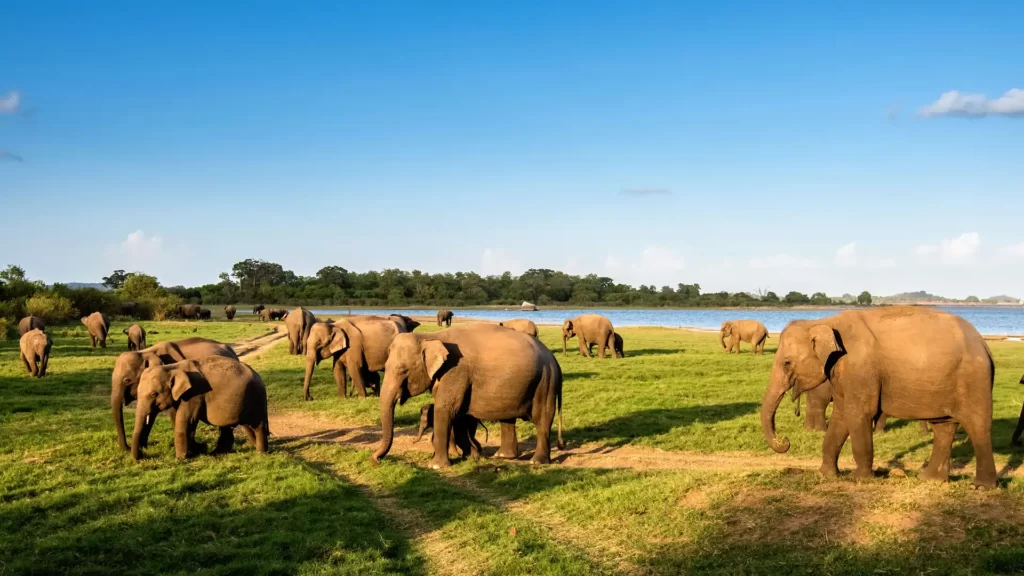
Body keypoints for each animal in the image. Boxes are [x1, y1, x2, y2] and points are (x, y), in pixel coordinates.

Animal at [131, 356, 269, 461]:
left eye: (154, 394)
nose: (143, 455)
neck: (172, 367)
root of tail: (258, 376)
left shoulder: (194, 394)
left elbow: (186, 420)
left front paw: (180, 459)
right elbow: (179, 420)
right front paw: (198, 450)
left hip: (256, 398)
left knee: (258, 425)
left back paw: (260, 453)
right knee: (228, 426)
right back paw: (216, 454)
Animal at [373, 324, 564, 468]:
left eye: (403, 371)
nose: (376, 460)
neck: (430, 336)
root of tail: (554, 359)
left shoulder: (457, 371)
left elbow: (446, 408)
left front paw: (436, 466)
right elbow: (459, 414)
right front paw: (472, 456)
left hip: (545, 381)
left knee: (542, 418)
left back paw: (537, 462)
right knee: (507, 418)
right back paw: (503, 456)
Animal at [761, 307, 996, 489]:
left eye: (786, 363)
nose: (785, 441)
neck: (824, 321)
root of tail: (984, 344)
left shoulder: (860, 369)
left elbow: (858, 413)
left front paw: (860, 478)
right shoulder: (843, 373)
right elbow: (841, 415)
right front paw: (826, 474)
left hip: (974, 380)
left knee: (977, 426)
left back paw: (980, 486)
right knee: (944, 427)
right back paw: (930, 479)